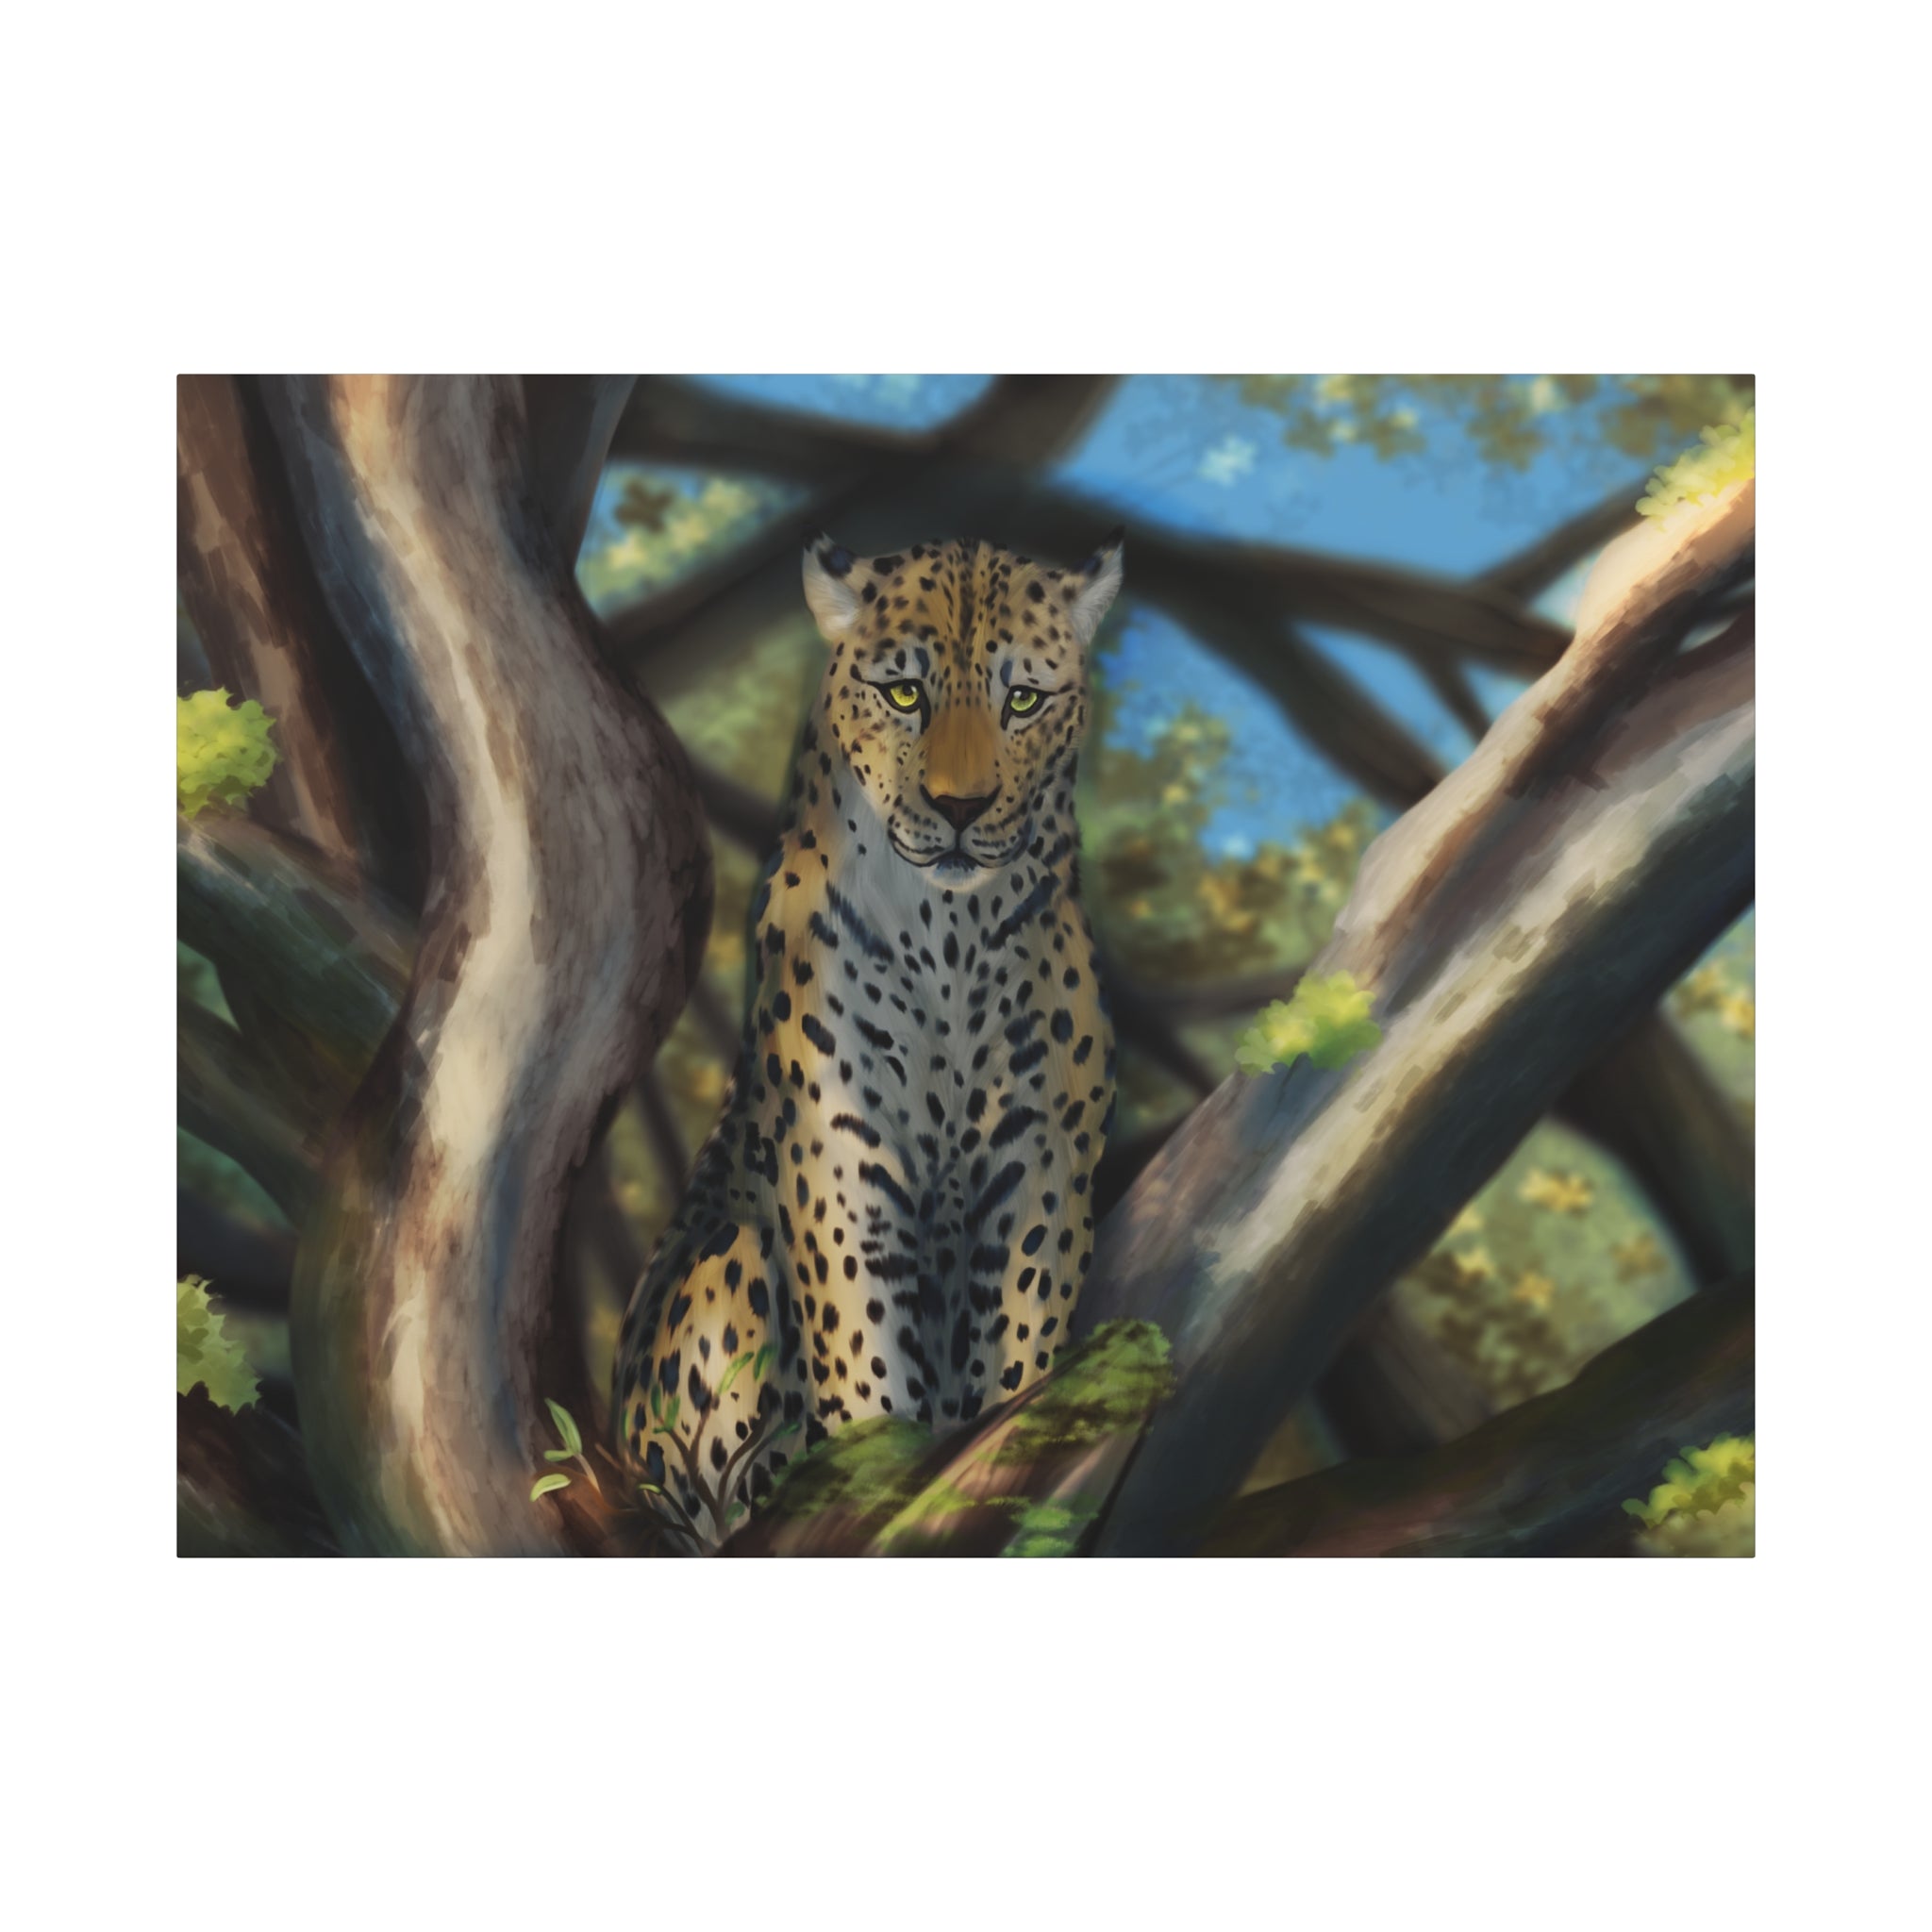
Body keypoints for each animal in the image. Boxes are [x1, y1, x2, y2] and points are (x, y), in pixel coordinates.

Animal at [613, 529, 1124, 1553]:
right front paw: (881, 1468)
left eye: (1022, 700)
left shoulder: (1041, 1156)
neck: (950, 932)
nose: (961, 806)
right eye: (903, 694)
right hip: (724, 1266)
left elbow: (1023, 1336)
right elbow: (861, 1342)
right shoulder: (838, 1151)